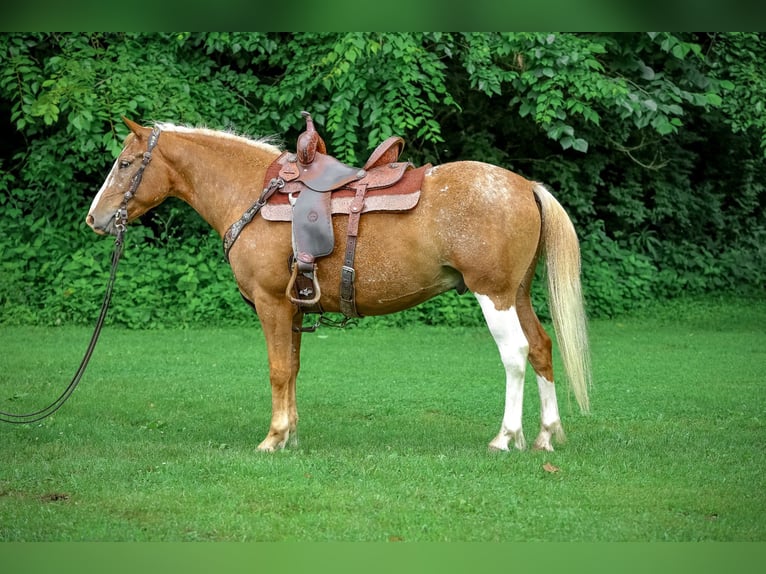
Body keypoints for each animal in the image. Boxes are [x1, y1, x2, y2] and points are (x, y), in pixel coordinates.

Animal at [86, 117, 591, 453]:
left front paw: (272, 439)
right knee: (542, 348)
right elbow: (292, 369)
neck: (253, 193)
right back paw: (545, 436)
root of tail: (524, 184)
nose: (94, 219)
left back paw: (506, 438)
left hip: (495, 295)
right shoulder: (293, 308)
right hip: (518, 294)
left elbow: (277, 369)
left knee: (516, 354)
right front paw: (290, 436)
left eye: (125, 163)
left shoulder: (272, 303)